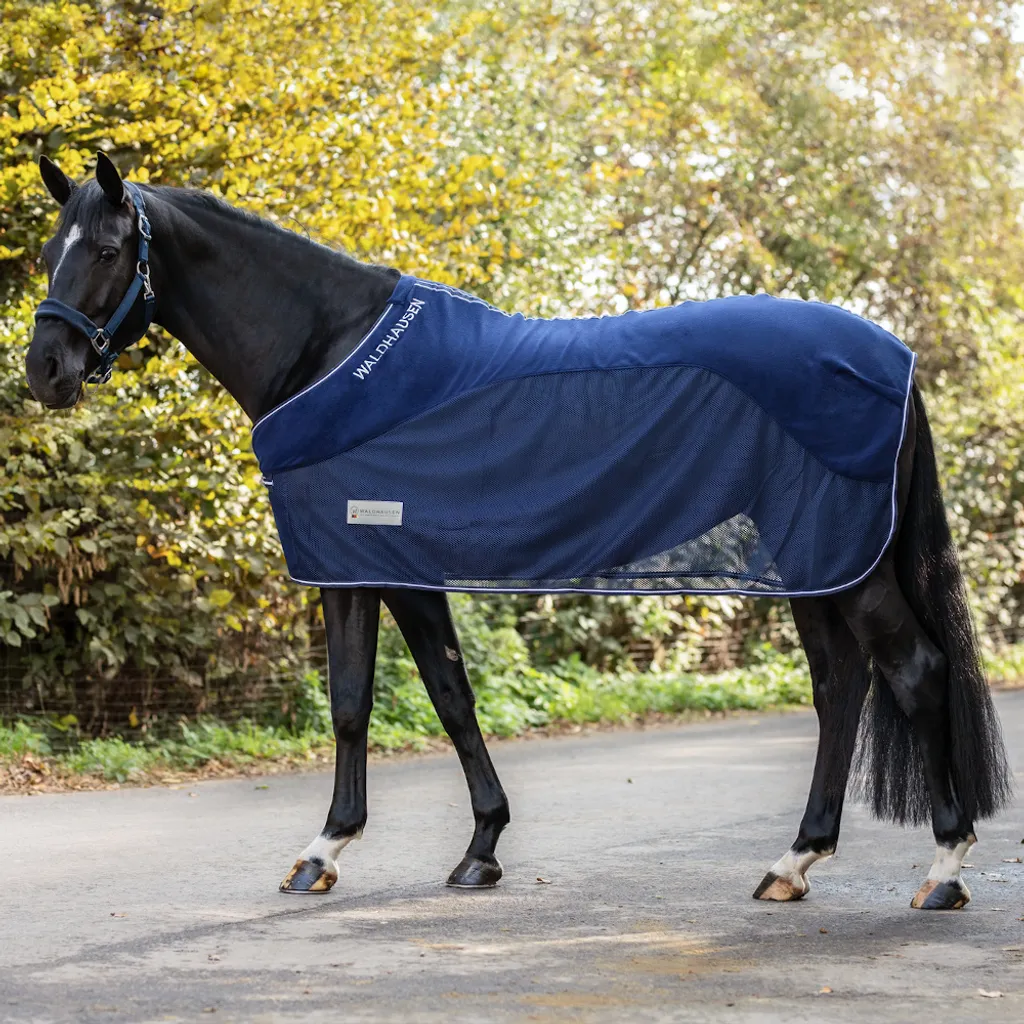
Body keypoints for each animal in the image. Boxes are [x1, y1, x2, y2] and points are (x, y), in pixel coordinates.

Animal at [25, 154, 1011, 910]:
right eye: (47, 252)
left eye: (107, 250)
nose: (46, 371)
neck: (328, 352)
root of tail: (892, 356)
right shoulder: (392, 567)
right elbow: (432, 697)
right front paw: (469, 849)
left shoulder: (358, 562)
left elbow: (367, 702)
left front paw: (334, 850)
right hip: (815, 561)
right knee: (841, 686)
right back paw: (793, 863)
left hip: (843, 563)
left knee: (913, 671)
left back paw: (944, 870)